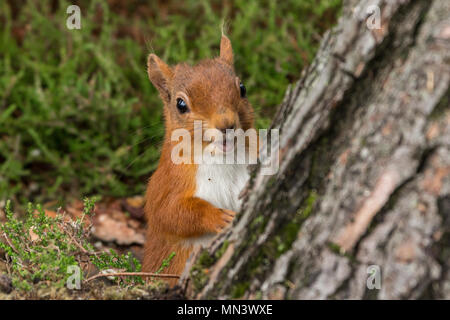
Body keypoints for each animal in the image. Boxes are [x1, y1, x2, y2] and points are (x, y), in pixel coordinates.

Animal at [142, 35, 255, 284]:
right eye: (180, 104)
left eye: (242, 88)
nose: (226, 124)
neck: (223, 158)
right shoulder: (166, 182)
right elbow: (168, 213)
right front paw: (218, 217)